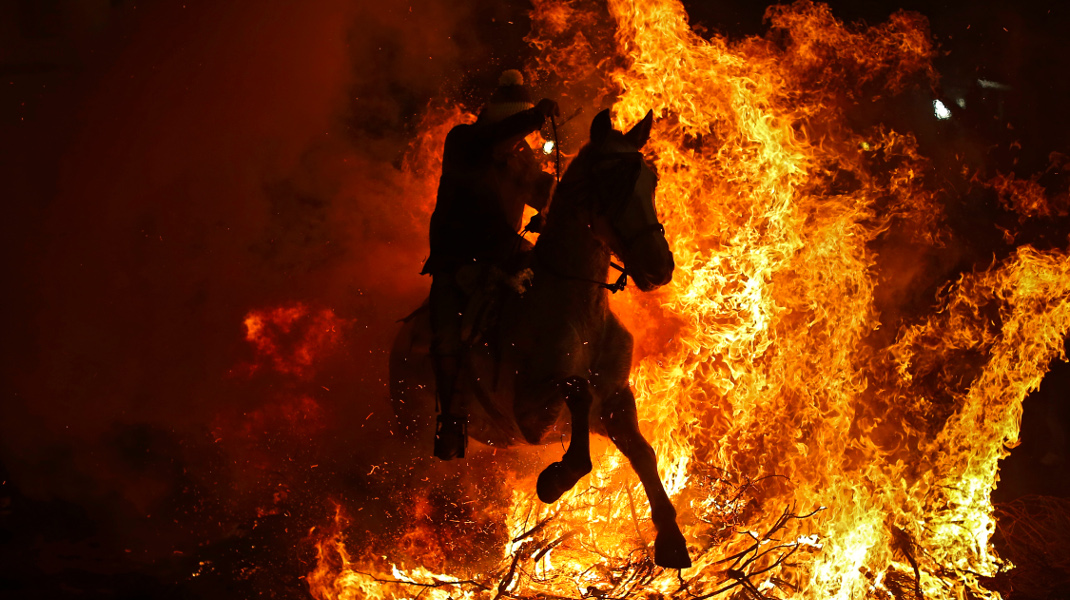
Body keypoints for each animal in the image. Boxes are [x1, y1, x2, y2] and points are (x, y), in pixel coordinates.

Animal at [389, 106, 689, 564]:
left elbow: (643, 453)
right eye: (612, 181)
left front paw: (670, 537)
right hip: (413, 434)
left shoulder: (617, 399)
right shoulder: (531, 416)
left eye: (650, 180)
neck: (580, 312)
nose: (659, 267)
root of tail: (402, 338)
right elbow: (577, 392)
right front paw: (555, 478)